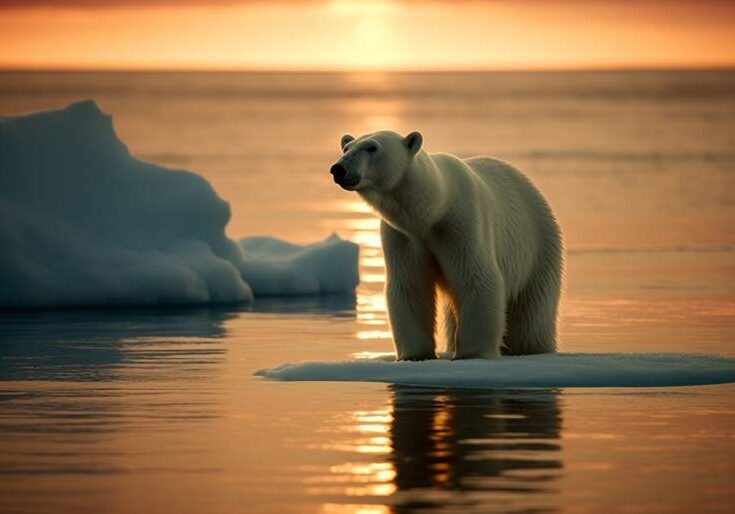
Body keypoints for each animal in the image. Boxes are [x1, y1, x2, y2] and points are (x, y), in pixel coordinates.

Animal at [330, 130, 568, 358]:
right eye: (346, 147)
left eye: (372, 147)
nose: (338, 169)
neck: (433, 210)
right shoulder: (403, 237)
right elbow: (410, 286)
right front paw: (414, 354)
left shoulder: (462, 224)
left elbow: (476, 278)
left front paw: (472, 352)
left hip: (538, 247)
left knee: (531, 315)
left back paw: (532, 347)